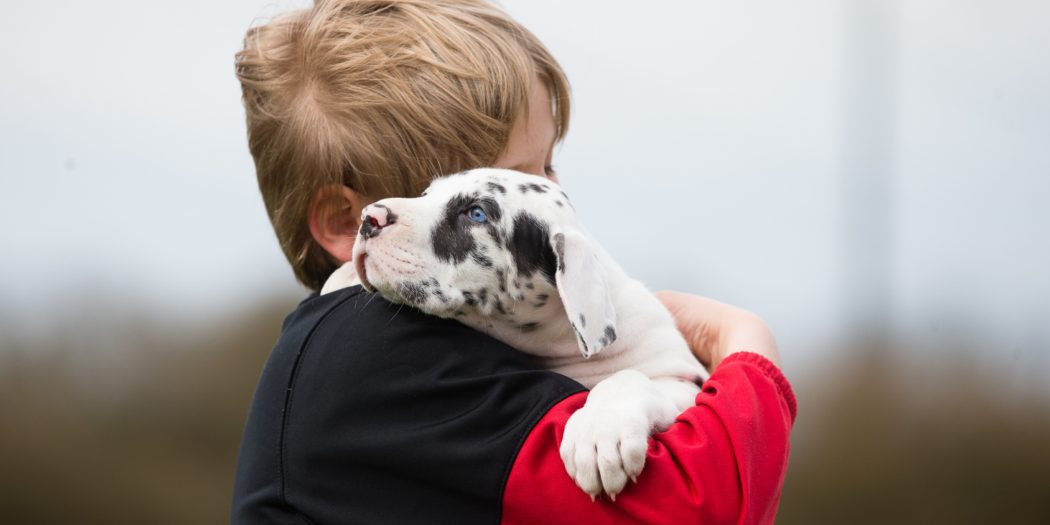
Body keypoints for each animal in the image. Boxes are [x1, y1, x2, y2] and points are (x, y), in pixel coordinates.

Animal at [323, 168, 709, 499]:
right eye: (427, 194)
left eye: (476, 214)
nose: (369, 217)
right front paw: (341, 278)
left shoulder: (684, 382)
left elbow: (627, 378)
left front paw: (600, 432)